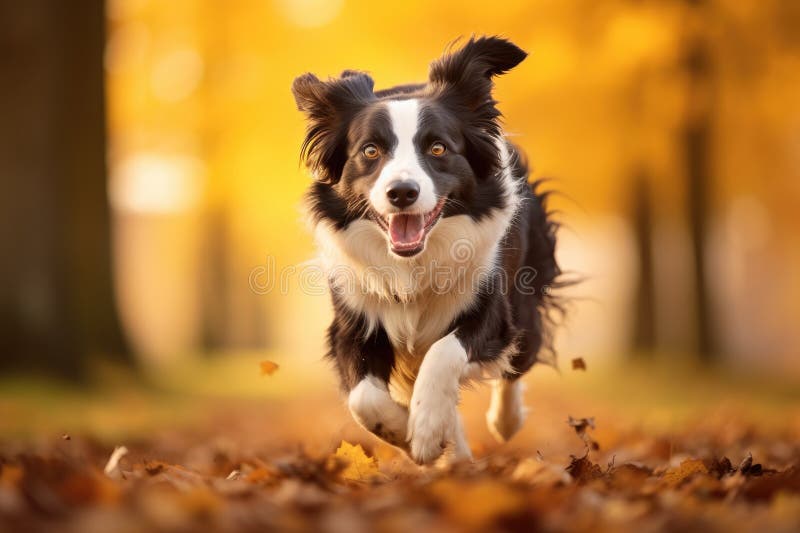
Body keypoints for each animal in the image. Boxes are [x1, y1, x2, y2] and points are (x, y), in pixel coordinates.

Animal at [290, 35, 560, 464]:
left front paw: (428, 427)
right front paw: (406, 430)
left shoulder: (489, 304)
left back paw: (504, 422)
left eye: (437, 149)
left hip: (525, 296)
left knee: (517, 359)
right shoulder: (353, 318)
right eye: (370, 151)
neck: (414, 264)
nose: (402, 192)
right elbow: (363, 399)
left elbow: (445, 352)